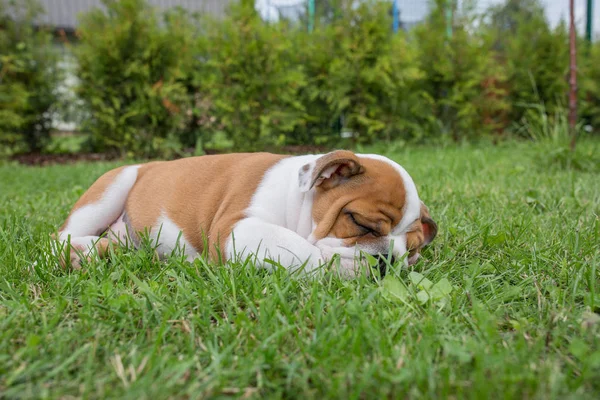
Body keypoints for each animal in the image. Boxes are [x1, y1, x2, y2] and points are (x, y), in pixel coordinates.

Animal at [54, 148, 436, 276]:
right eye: (359, 222)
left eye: (413, 251)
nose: (388, 259)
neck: (296, 199)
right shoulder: (237, 227)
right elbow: (299, 249)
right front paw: (343, 266)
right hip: (113, 187)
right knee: (60, 237)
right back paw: (80, 253)